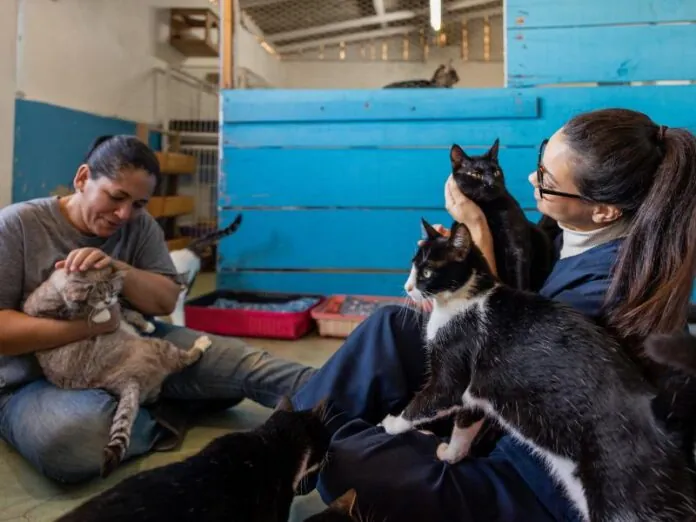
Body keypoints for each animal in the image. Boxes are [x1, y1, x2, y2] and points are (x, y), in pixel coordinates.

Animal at [23, 266, 212, 478]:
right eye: (97, 294)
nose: (107, 301)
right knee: (184, 359)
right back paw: (201, 344)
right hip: (160, 347)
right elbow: (81, 313)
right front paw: (101, 314)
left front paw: (146, 324)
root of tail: (128, 381)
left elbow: (128, 312)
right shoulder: (50, 311)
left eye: (112, 291)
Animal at [386, 217, 696, 516]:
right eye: (413, 266)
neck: (465, 299)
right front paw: (452, 454)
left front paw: (391, 424)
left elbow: (428, 400)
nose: (407, 287)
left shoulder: (454, 366)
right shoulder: (475, 390)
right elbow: (466, 423)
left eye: (427, 272)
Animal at [452, 140, 556, 290]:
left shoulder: (516, 246)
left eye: (495, 171)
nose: (491, 183)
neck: (487, 208)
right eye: (476, 174)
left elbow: (518, 278)